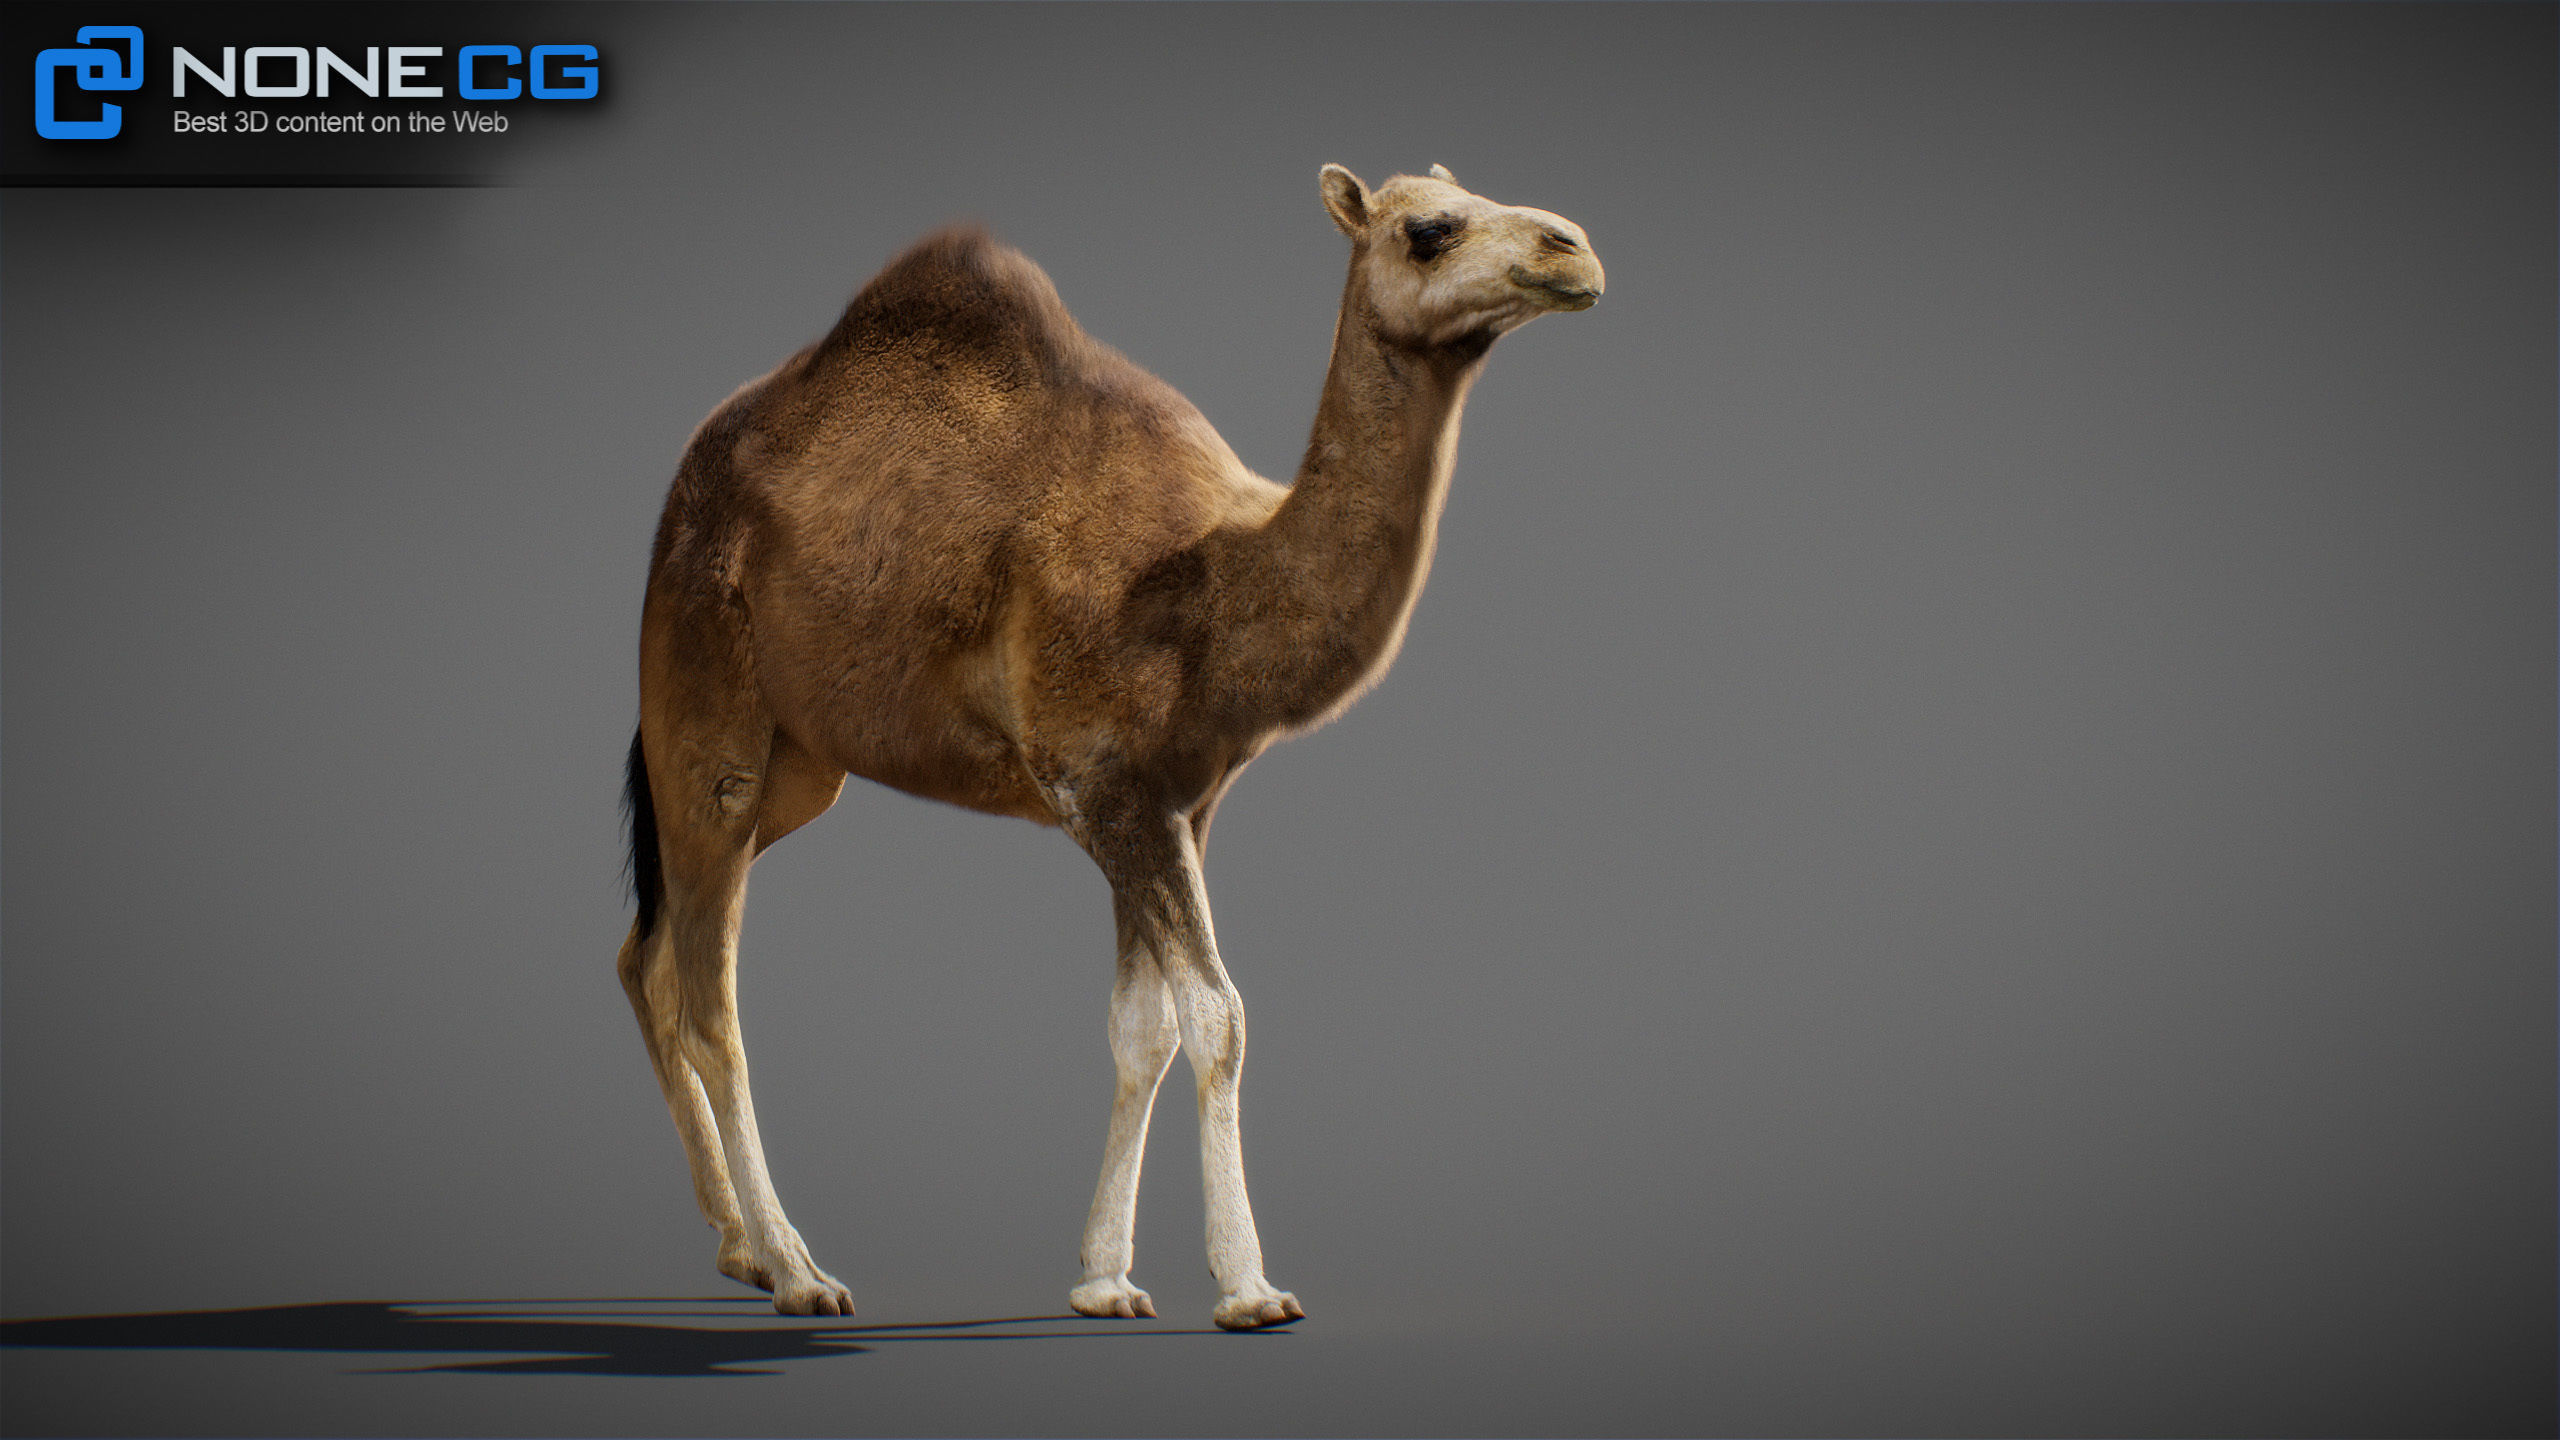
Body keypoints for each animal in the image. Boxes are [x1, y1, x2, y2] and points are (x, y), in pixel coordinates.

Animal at [616, 163, 1603, 1330]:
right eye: (1430, 230)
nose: (1572, 250)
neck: (1217, 581)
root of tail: (694, 468)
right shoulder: (1099, 784)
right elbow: (1217, 1017)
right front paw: (1249, 1289)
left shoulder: (1182, 797)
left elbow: (1145, 1029)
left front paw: (1103, 1279)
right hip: (703, 698)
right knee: (711, 994)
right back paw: (798, 1270)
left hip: (798, 770)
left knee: (650, 956)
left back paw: (739, 1248)